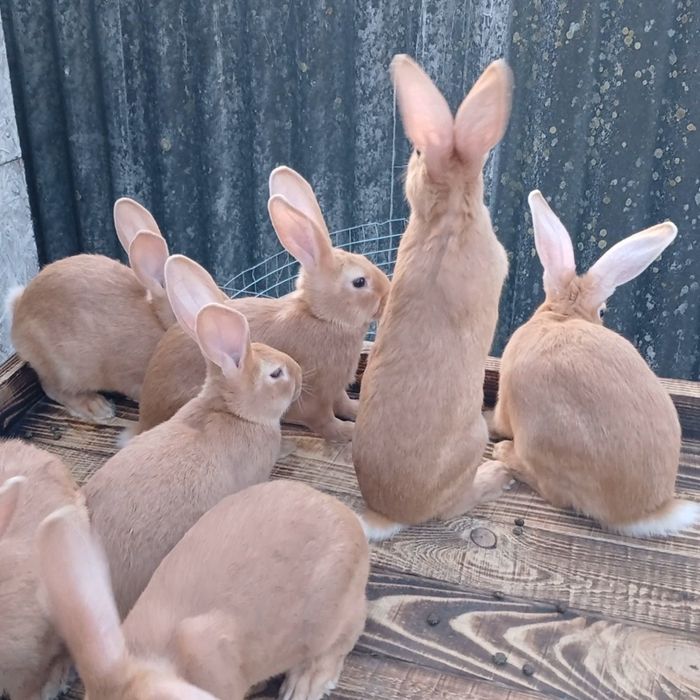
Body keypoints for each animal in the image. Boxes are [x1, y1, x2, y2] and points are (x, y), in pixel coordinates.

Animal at [134, 166, 390, 443]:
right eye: (359, 281)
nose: (387, 294)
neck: (322, 317)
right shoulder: (317, 395)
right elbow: (325, 421)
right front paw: (348, 432)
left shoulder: (336, 390)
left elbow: (343, 403)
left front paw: (357, 411)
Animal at [352, 55, 515, 540]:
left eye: (419, 154)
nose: (411, 161)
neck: (448, 215)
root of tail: (390, 512)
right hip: (473, 443)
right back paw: (496, 478)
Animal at [489, 190, 699, 537]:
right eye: (602, 311)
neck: (563, 315)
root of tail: (640, 512)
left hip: (541, 438)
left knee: (555, 493)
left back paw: (504, 452)